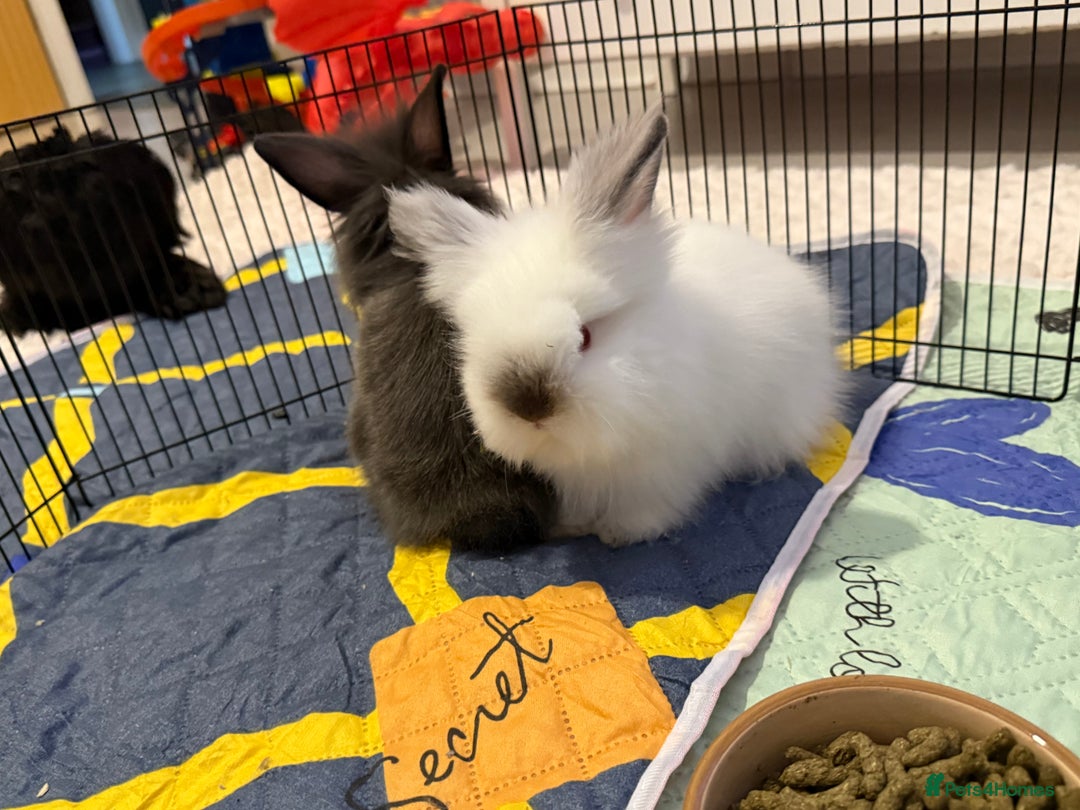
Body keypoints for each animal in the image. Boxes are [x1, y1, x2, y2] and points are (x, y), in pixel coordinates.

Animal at [386, 105, 848, 547]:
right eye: (473, 340)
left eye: (586, 335)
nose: (530, 408)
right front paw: (571, 528)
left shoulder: (663, 469)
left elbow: (645, 508)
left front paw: (622, 535)